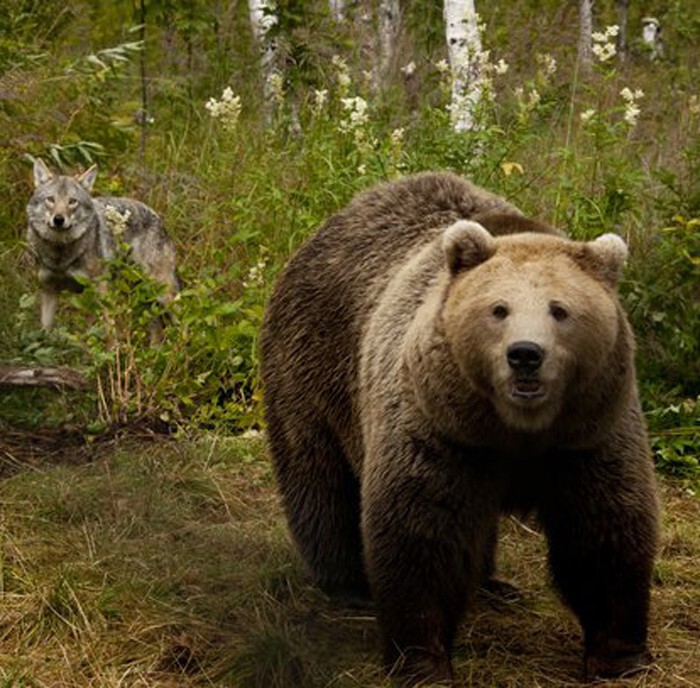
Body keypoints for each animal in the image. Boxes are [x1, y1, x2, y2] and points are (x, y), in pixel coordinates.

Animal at [26, 157, 180, 330]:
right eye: (51, 200)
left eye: (72, 202)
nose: (59, 219)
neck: (60, 255)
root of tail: (158, 217)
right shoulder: (49, 291)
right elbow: (46, 329)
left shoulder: (99, 291)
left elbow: (106, 330)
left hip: (162, 292)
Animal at [260, 171, 660, 684]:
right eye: (499, 308)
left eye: (560, 309)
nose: (525, 355)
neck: (516, 431)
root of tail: (339, 217)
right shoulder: (437, 431)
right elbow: (420, 533)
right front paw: (422, 658)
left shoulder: (588, 434)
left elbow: (605, 528)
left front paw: (620, 656)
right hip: (314, 370)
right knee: (321, 481)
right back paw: (347, 583)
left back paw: (495, 585)